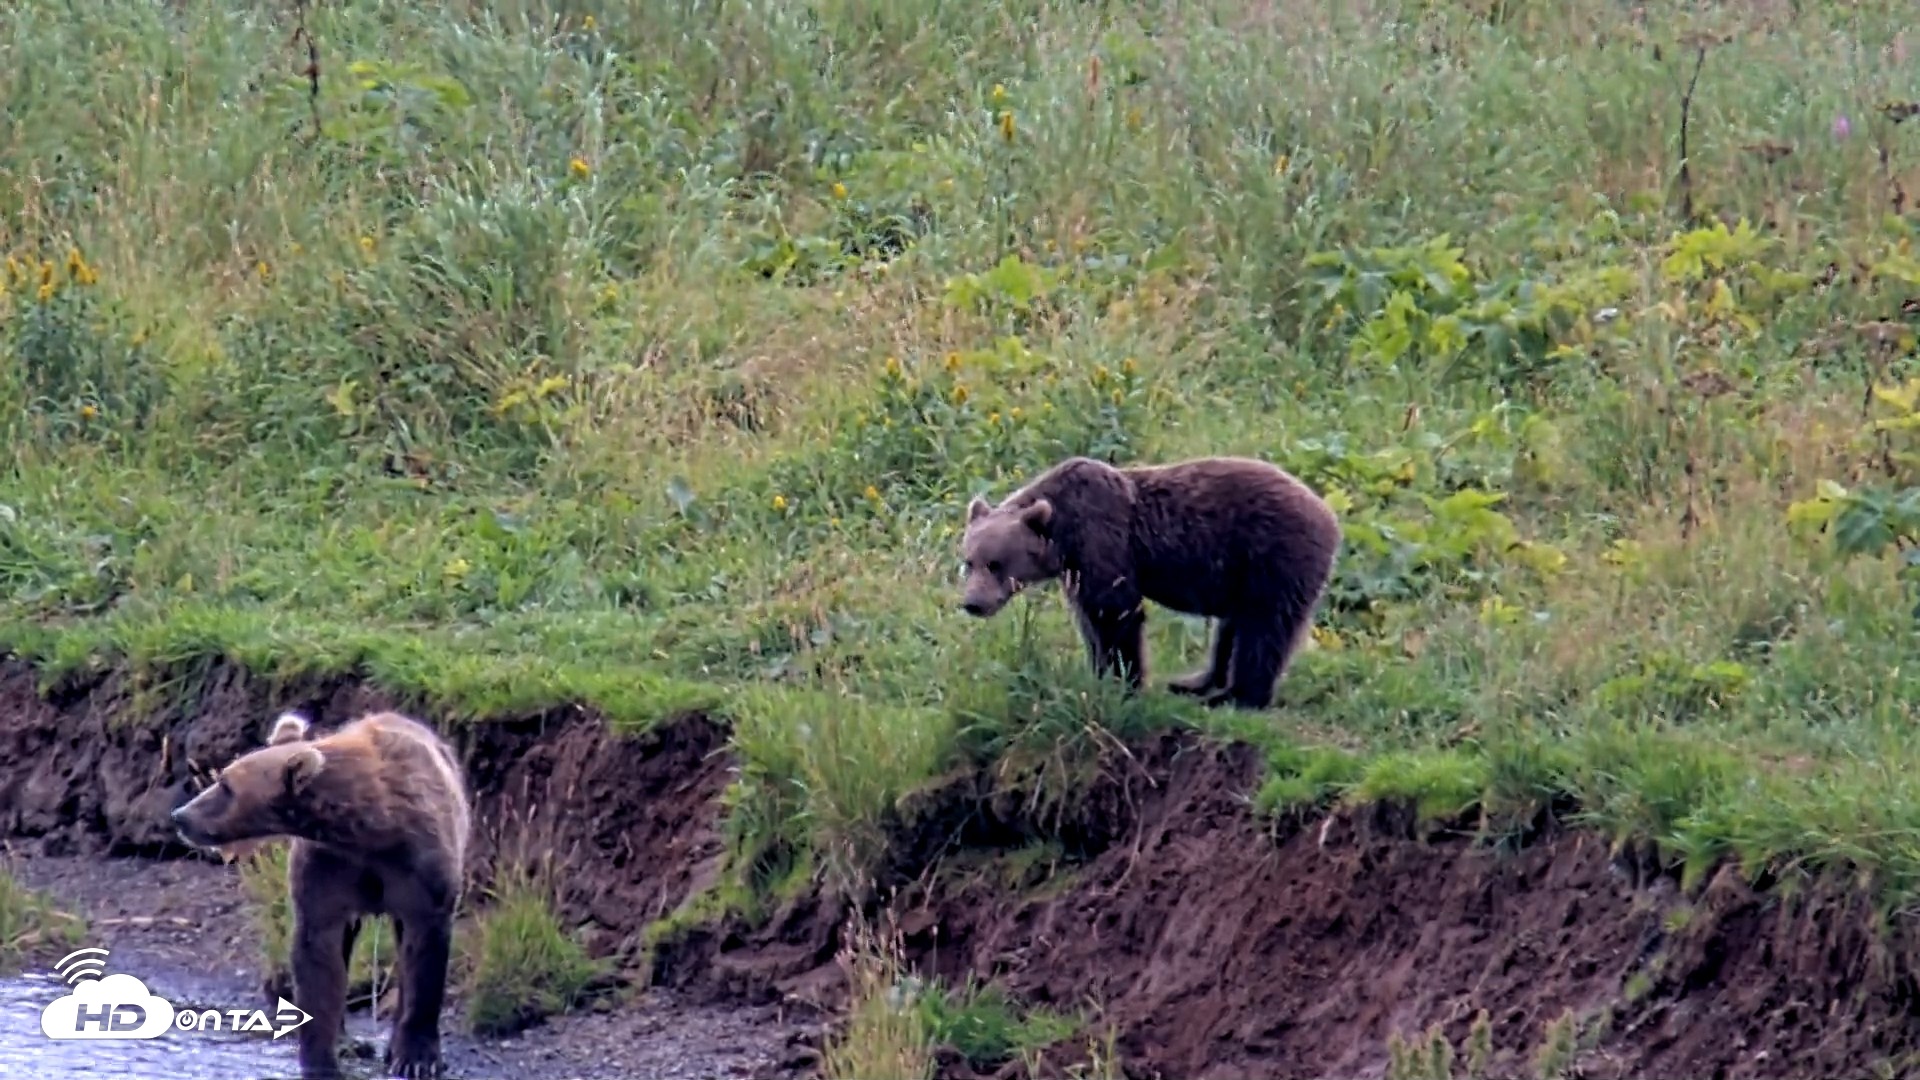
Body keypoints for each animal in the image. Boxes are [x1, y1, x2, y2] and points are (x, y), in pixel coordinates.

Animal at [170, 709, 472, 1080]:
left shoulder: (422, 868)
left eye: (227, 785)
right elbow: (319, 957)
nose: (180, 816)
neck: (372, 828)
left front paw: (417, 1058)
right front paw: (321, 1059)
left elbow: (425, 954)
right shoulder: (328, 869)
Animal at [959, 454, 1341, 710]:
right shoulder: (1078, 570)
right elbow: (1091, 620)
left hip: (1274, 555)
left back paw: (1238, 697)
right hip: (1243, 573)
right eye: (968, 562)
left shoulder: (1106, 541)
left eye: (996, 564)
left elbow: (1116, 614)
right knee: (1232, 628)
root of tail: (1328, 514)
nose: (973, 603)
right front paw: (1098, 673)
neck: (1064, 534)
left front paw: (1125, 681)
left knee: (1264, 628)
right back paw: (1196, 682)